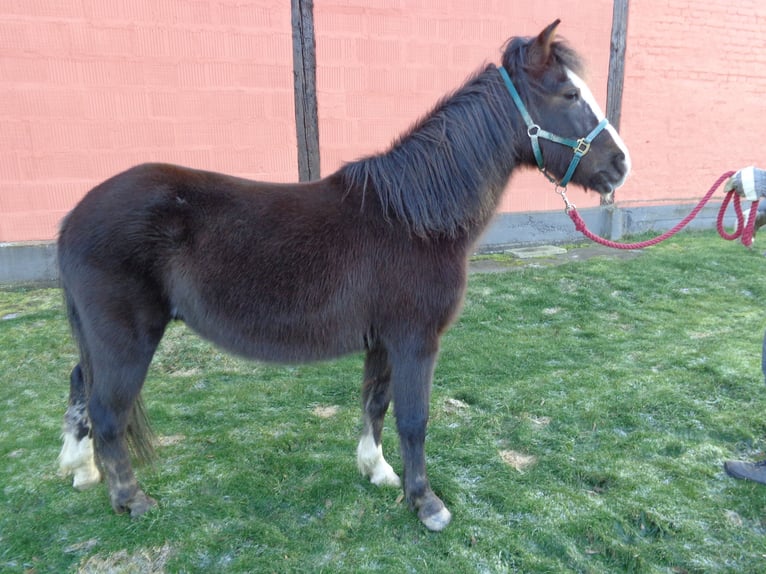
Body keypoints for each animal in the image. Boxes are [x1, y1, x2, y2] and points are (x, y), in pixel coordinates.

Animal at [58, 22, 632, 536]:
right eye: (568, 93)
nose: (621, 164)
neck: (412, 217)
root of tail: (74, 216)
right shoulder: (415, 340)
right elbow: (414, 419)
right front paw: (426, 504)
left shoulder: (383, 340)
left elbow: (375, 403)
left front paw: (377, 471)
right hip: (127, 339)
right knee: (108, 410)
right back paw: (132, 500)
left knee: (81, 384)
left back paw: (80, 469)